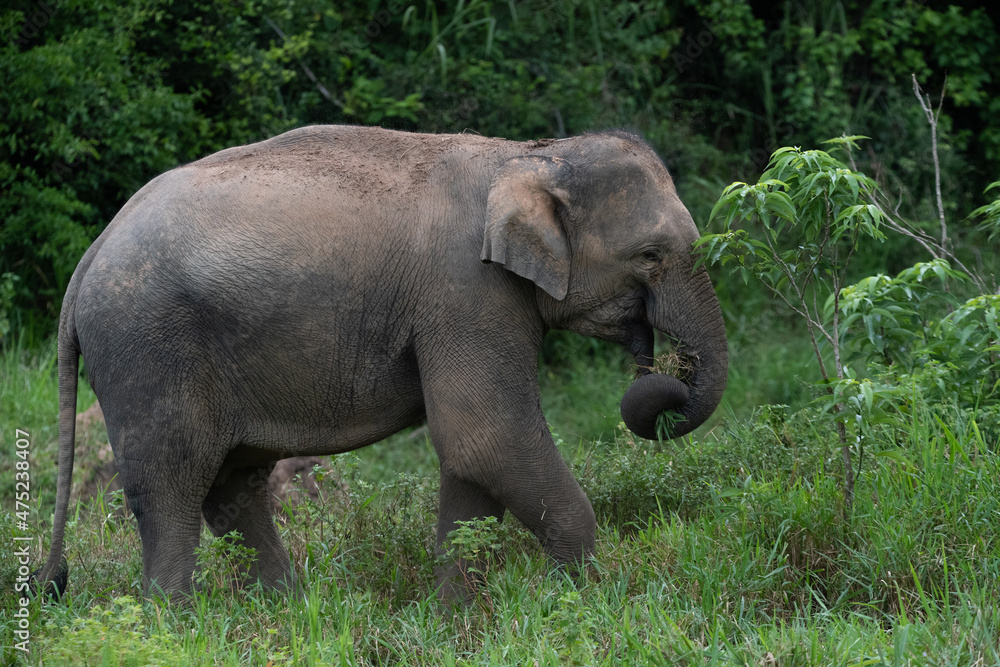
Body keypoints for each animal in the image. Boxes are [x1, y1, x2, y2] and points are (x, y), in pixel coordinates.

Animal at [36, 125, 727, 599]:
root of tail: (92, 253)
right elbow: (487, 438)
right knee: (171, 488)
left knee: (232, 484)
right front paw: (579, 599)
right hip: (146, 348)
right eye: (650, 254)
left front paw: (455, 616)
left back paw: (283, 611)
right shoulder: (467, 292)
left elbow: (472, 456)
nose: (655, 376)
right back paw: (173, 625)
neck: (524, 155)